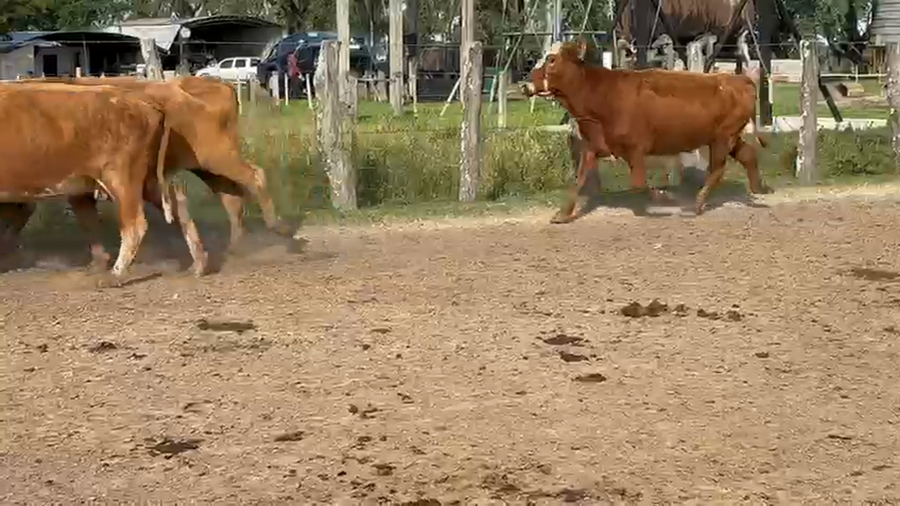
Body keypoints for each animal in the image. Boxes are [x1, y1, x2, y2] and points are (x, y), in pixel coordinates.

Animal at [0, 75, 294, 255]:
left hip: (218, 156)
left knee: (255, 176)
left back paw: (278, 227)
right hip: (206, 166)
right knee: (230, 196)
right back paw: (235, 246)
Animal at [0, 83, 208, 284]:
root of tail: (143, 103)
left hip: (122, 178)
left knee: (135, 226)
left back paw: (114, 277)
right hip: (149, 181)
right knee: (179, 207)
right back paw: (198, 265)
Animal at [523, 39, 772, 223]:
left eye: (551, 59)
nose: (526, 85)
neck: (603, 94)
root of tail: (740, 79)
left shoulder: (635, 148)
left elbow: (639, 184)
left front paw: (665, 197)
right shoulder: (594, 146)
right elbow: (579, 180)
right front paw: (562, 214)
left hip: (722, 138)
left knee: (718, 169)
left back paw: (696, 204)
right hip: (730, 137)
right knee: (747, 155)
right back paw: (760, 187)